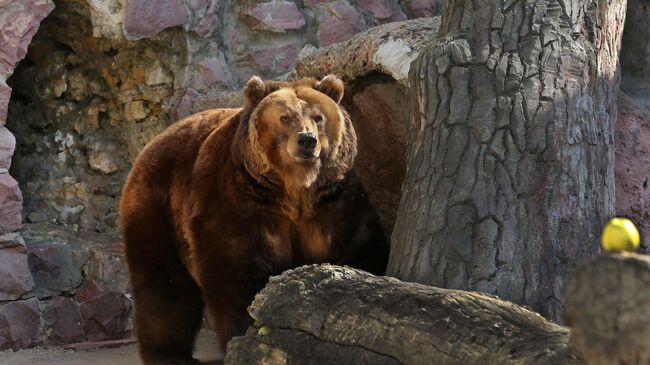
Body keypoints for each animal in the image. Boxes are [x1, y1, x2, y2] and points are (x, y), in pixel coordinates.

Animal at [119, 75, 388, 362]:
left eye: (318, 117)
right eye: (284, 117)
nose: (307, 140)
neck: (294, 193)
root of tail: (155, 140)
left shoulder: (334, 203)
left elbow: (360, 249)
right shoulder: (240, 203)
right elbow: (236, 273)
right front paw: (247, 335)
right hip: (157, 209)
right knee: (163, 284)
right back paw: (169, 355)